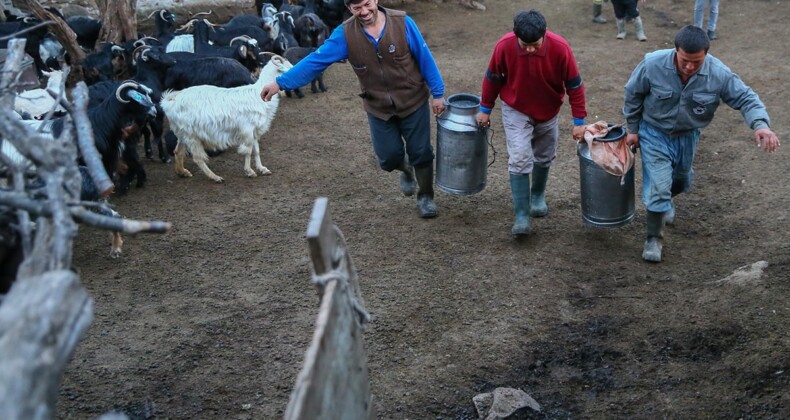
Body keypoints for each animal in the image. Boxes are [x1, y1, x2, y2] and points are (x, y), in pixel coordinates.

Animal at [161, 53, 294, 182]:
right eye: (287, 68)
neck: (257, 94)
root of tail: (170, 101)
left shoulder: (255, 131)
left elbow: (256, 150)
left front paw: (262, 169)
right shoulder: (247, 129)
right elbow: (248, 150)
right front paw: (249, 171)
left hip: (183, 133)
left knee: (178, 151)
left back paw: (183, 172)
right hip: (192, 135)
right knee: (198, 158)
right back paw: (215, 177)